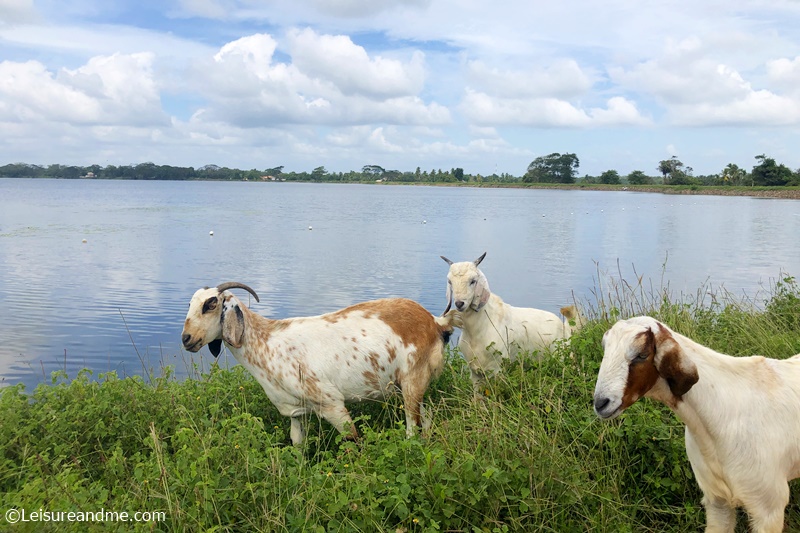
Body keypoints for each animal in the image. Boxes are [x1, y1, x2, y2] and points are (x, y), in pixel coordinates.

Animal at [184, 282, 454, 444]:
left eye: (211, 304)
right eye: (190, 304)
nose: (186, 339)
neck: (267, 342)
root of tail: (435, 322)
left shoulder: (332, 403)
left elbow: (352, 440)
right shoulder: (295, 410)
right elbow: (297, 443)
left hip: (412, 380)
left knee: (412, 427)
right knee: (426, 419)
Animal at [438, 251, 580, 392]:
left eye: (473, 281)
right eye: (450, 281)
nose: (459, 303)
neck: (478, 329)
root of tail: (564, 327)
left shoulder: (497, 369)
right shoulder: (475, 372)